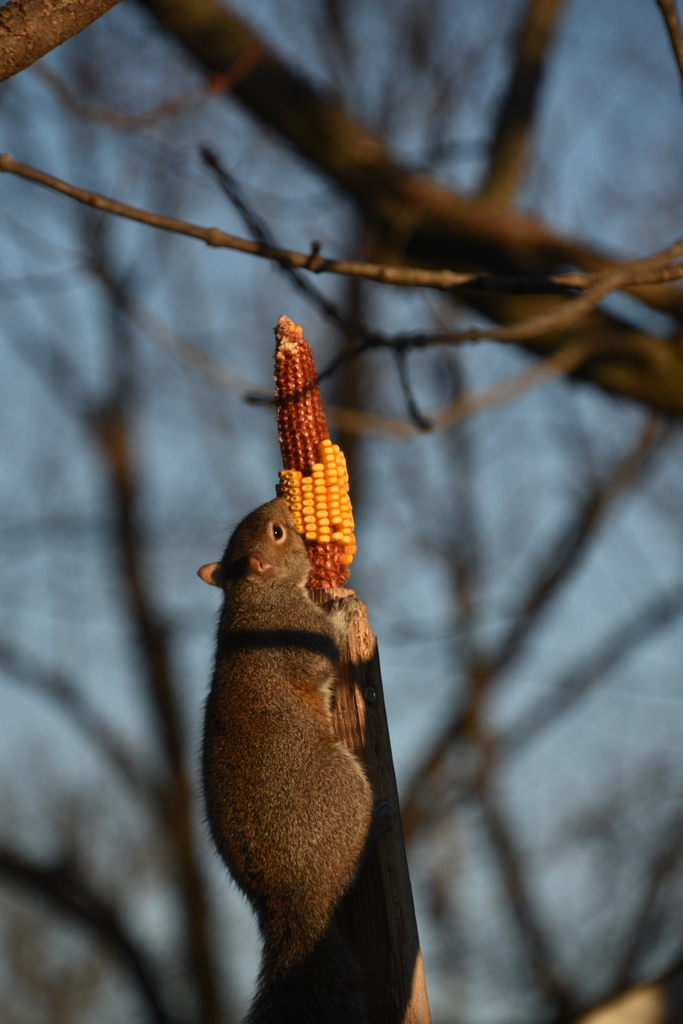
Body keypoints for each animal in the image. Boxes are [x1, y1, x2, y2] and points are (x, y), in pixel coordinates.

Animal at [198, 497, 374, 1024]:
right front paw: (343, 609)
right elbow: (328, 645)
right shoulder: (301, 635)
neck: (255, 595)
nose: (279, 500)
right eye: (277, 532)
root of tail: (295, 908)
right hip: (347, 788)